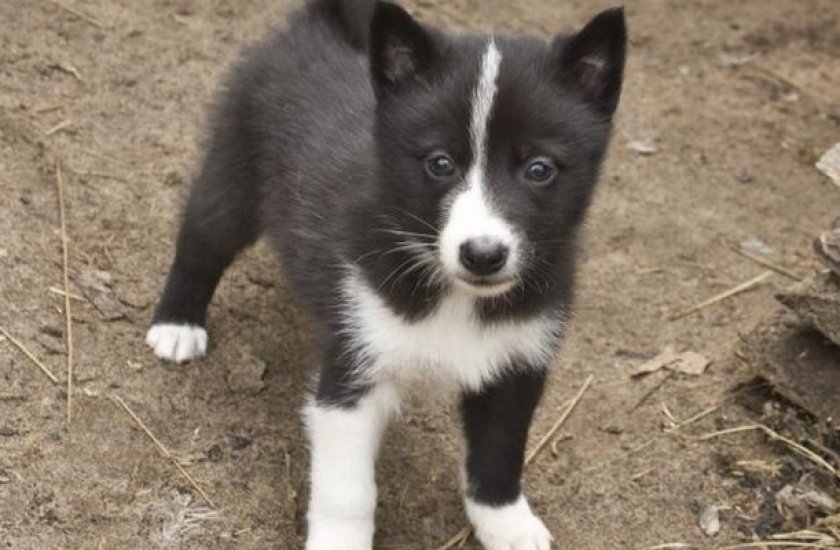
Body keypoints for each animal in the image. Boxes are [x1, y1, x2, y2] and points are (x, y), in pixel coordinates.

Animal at [148, 2, 628, 548]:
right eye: (440, 163)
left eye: (540, 169)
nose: (482, 255)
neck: (454, 295)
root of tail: (317, 25)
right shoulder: (353, 366)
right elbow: (347, 489)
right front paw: (339, 542)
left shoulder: (518, 360)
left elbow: (499, 452)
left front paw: (507, 523)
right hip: (235, 165)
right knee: (203, 235)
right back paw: (178, 323)